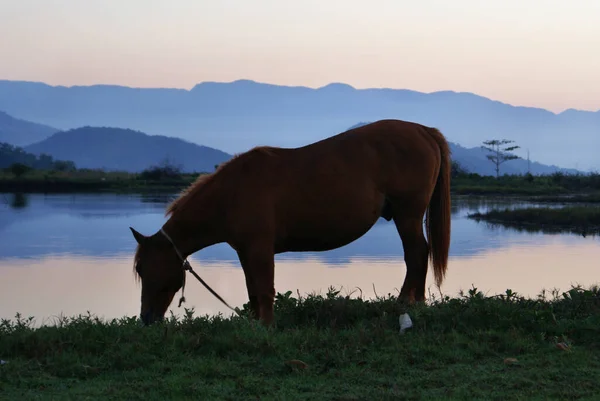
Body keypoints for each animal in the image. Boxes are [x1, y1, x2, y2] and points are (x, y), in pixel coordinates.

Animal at [130, 119, 450, 324]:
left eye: (147, 269)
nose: (146, 319)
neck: (232, 193)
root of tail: (423, 131)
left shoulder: (260, 249)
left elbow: (264, 288)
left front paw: (267, 326)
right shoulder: (245, 251)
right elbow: (252, 290)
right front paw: (256, 323)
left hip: (407, 215)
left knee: (417, 253)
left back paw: (407, 303)